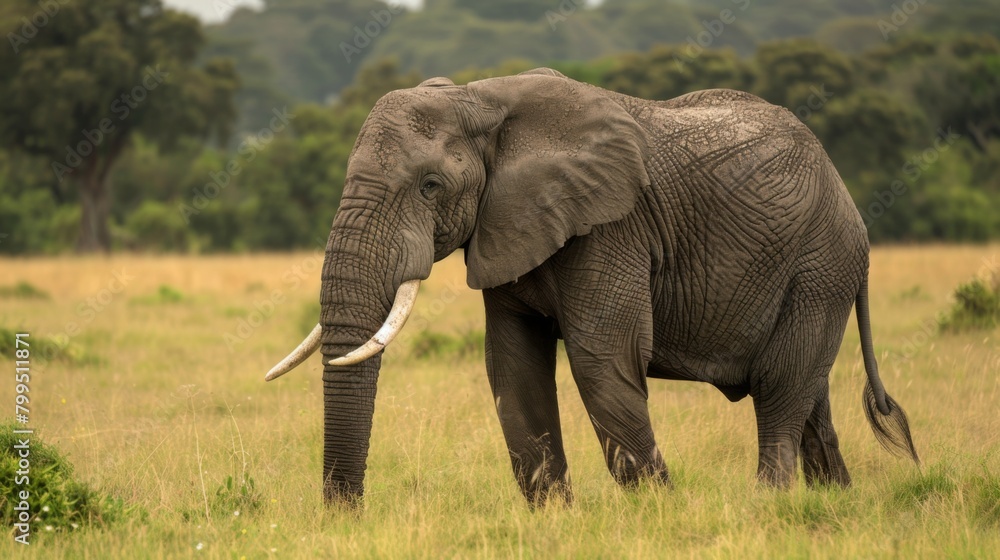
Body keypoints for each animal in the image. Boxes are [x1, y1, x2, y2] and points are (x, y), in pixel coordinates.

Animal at [262, 68, 916, 506]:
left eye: (429, 186)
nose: (347, 515)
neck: (481, 97)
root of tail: (845, 194)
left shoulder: (611, 226)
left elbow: (602, 359)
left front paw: (660, 513)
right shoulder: (508, 225)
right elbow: (512, 368)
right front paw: (556, 518)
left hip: (820, 264)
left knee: (780, 388)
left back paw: (767, 506)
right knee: (809, 396)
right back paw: (834, 504)